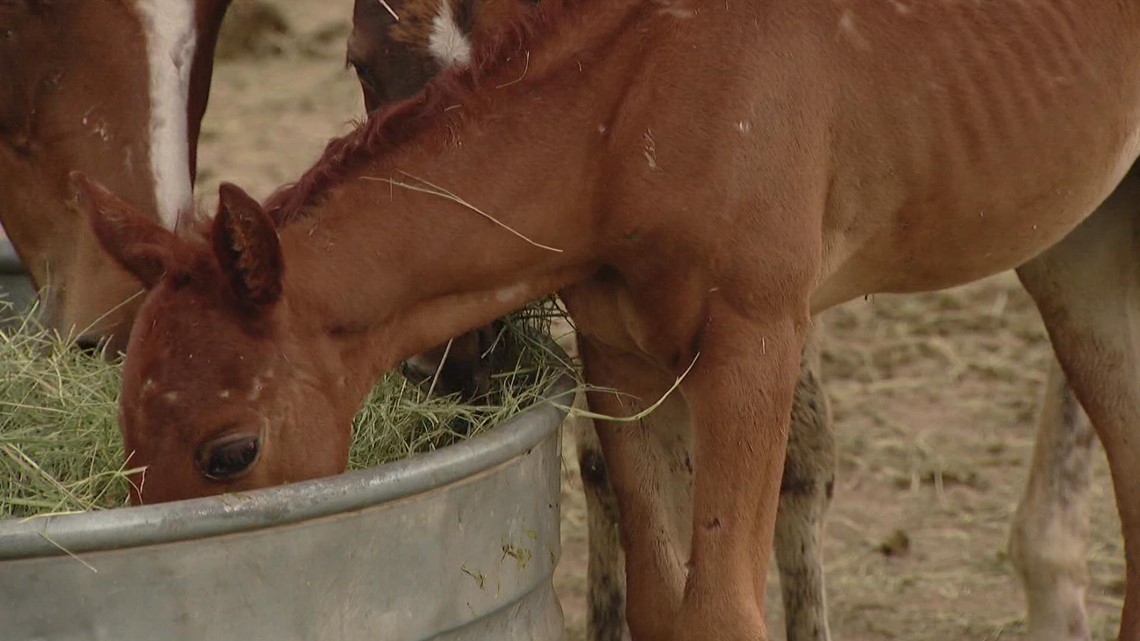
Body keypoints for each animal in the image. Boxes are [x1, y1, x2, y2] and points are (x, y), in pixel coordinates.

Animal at [78, 1, 1140, 639]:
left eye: (229, 452)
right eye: (123, 429)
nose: (450, 366)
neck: (634, 111)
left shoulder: (757, 337)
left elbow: (721, 608)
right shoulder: (623, 351)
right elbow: (663, 603)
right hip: (1083, 247)